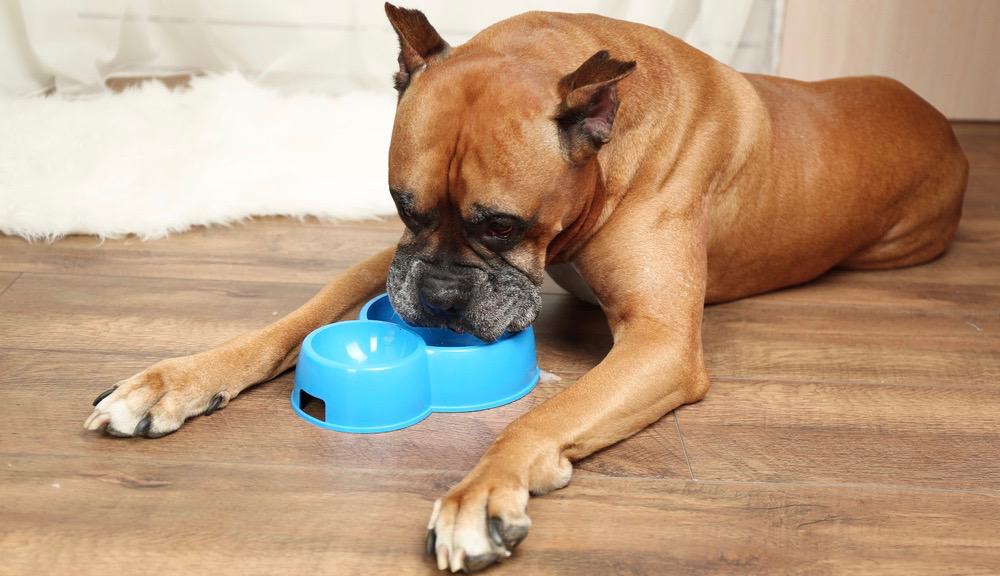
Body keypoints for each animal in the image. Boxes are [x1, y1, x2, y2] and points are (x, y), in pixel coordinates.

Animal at [86, 4, 968, 572]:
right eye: (403, 205)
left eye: (504, 226)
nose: (442, 297)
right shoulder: (388, 261)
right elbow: (291, 318)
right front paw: (173, 381)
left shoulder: (660, 343)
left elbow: (541, 416)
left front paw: (481, 495)